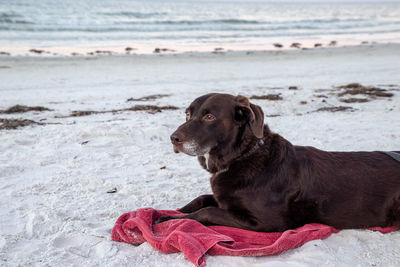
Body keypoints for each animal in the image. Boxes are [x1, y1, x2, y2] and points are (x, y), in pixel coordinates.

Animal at [156, 93, 400, 232]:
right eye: (187, 115)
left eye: (209, 117)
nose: (173, 138)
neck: (243, 155)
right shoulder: (224, 199)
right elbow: (201, 199)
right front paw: (169, 213)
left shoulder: (267, 222)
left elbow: (207, 212)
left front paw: (169, 219)